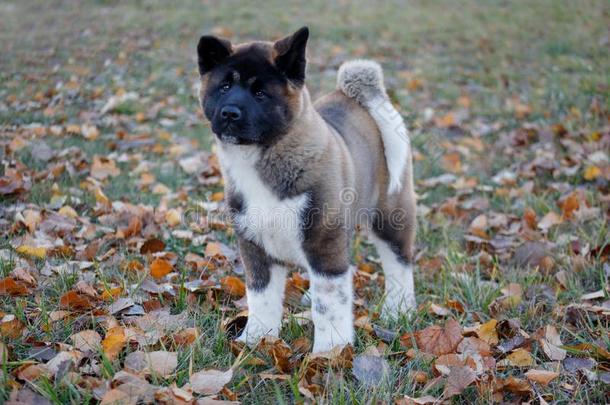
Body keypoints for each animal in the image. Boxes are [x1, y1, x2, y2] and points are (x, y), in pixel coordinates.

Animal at [197, 26, 416, 352]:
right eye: (224, 87)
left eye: (260, 93)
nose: (229, 113)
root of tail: (354, 96)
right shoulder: (255, 246)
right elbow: (261, 299)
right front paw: (256, 340)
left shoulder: (323, 241)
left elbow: (329, 304)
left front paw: (330, 351)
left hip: (390, 215)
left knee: (398, 263)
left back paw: (399, 309)